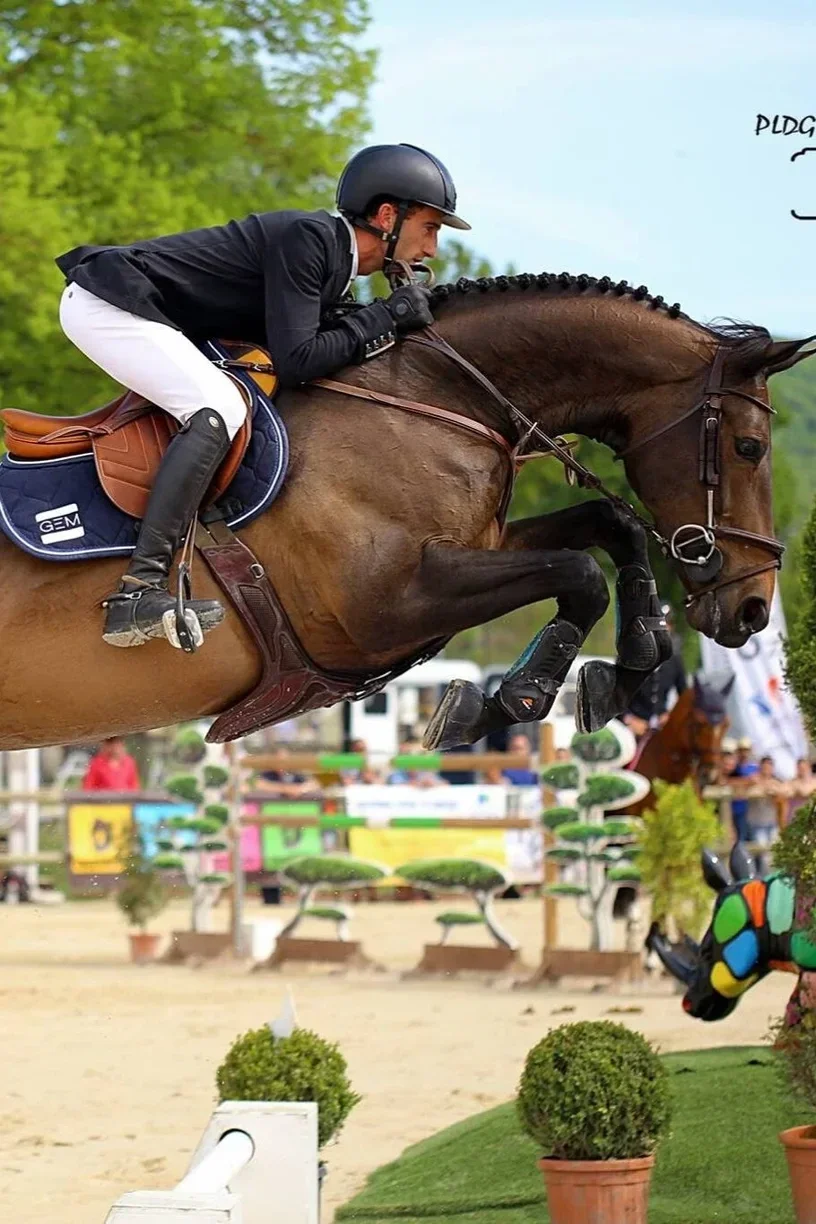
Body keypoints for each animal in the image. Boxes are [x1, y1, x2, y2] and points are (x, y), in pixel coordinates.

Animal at [0, 271, 812, 748]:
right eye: (748, 448)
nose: (752, 609)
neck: (431, 397)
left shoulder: (474, 547)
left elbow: (605, 531)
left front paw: (630, 669)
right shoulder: (383, 607)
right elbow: (579, 572)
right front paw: (504, 702)